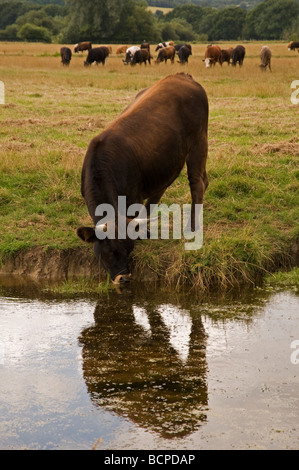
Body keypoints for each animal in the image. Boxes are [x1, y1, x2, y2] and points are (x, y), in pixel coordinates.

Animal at [77, 73, 209, 284]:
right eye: (108, 252)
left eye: (128, 250)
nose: (124, 278)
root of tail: (182, 76)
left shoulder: (133, 196)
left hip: (199, 142)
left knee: (197, 182)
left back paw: (192, 227)